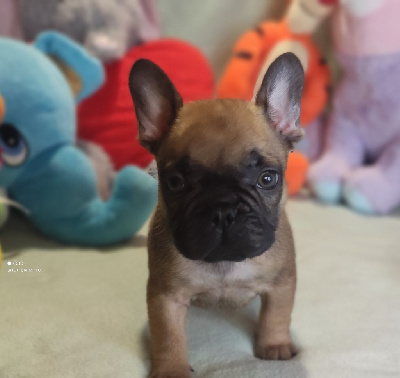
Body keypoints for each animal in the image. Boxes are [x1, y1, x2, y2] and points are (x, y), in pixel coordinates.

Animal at [130, 51, 304, 376]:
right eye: (175, 182)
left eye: (267, 179)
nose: (223, 210)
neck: (224, 262)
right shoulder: (165, 296)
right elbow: (168, 335)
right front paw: (172, 368)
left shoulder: (281, 283)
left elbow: (276, 315)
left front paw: (274, 345)